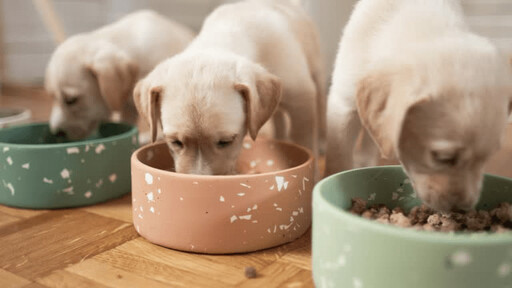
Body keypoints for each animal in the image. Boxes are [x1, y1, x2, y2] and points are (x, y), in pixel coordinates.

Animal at [133, 0, 324, 176]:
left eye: (225, 141)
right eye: (175, 142)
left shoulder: (302, 100)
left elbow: (305, 139)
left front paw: (312, 174)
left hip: (316, 73)